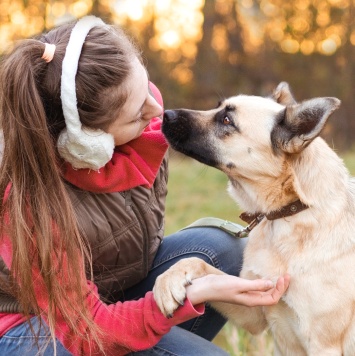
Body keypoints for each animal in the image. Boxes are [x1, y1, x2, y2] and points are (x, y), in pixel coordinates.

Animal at [154, 82, 355, 354]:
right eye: (218, 107)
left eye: (227, 120)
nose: (165, 114)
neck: (289, 213)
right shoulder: (254, 309)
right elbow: (196, 262)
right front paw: (166, 282)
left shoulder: (324, 345)